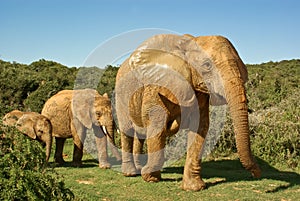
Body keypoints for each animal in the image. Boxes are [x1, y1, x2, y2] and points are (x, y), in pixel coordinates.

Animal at [116, 34, 262, 192]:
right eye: (207, 65)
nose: (257, 174)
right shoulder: (157, 86)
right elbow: (157, 123)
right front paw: (151, 178)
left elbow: (200, 127)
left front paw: (194, 187)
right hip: (120, 94)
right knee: (127, 130)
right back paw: (131, 173)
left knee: (140, 135)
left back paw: (138, 169)